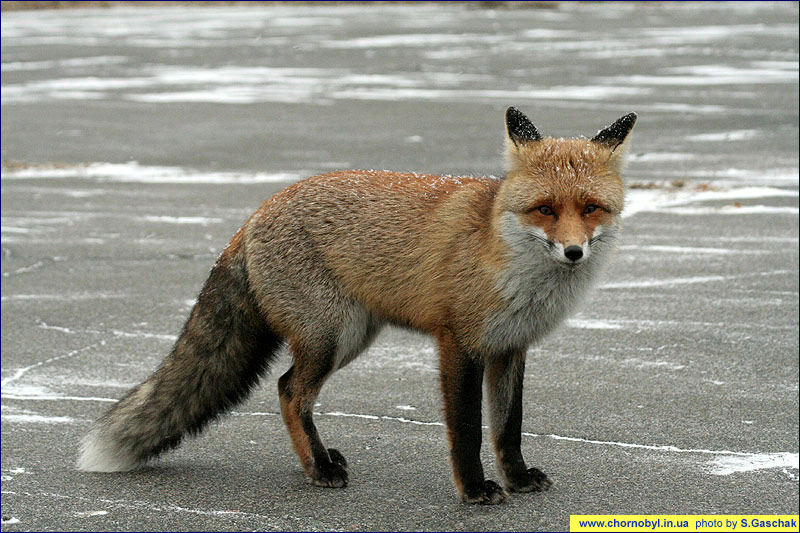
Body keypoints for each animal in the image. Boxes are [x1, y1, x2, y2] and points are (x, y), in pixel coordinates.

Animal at [77, 107, 636, 504]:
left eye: (590, 208)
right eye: (545, 209)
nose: (573, 252)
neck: (506, 257)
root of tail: (254, 215)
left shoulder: (510, 347)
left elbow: (508, 427)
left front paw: (517, 479)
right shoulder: (458, 343)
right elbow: (468, 429)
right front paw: (475, 490)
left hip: (351, 337)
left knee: (289, 389)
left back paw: (322, 459)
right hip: (332, 336)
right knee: (289, 392)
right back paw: (319, 469)